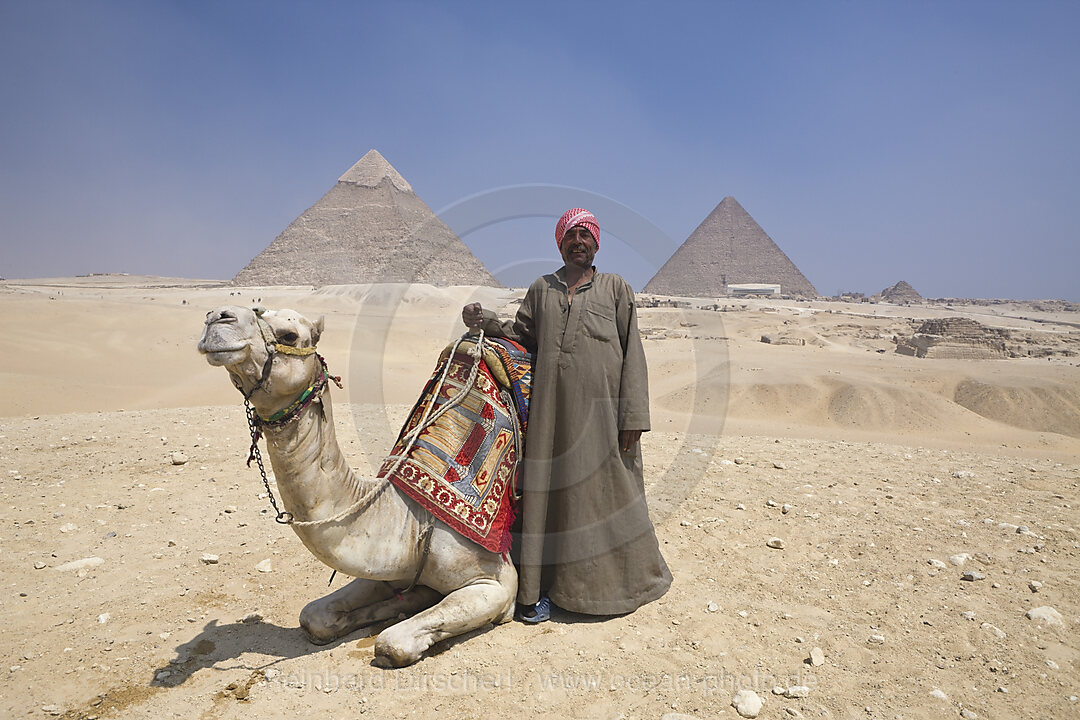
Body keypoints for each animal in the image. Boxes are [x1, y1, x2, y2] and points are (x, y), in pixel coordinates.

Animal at [198, 302, 518, 664]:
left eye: (289, 335)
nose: (217, 317)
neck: (412, 519)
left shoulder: (498, 583)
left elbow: (393, 643)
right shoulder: (393, 567)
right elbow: (314, 616)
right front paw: (399, 604)